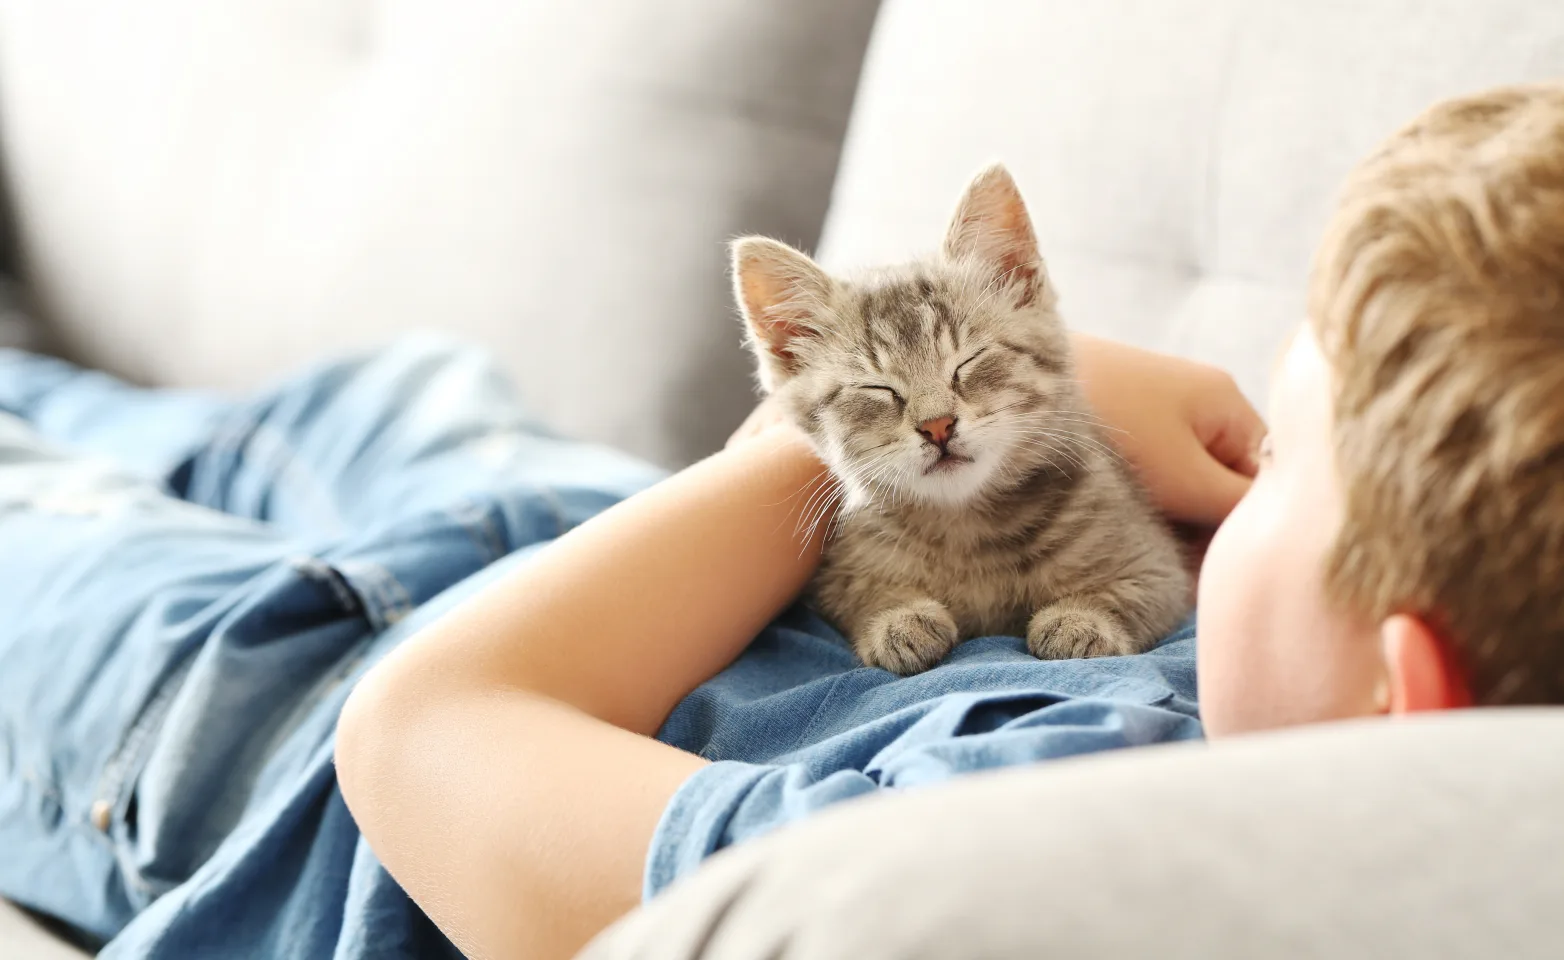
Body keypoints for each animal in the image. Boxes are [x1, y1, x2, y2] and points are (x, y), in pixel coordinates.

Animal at [731, 163, 1182, 678]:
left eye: (967, 362)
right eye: (878, 389)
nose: (938, 426)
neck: (970, 531)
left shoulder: (1158, 564)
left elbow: (1136, 591)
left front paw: (1081, 618)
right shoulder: (838, 574)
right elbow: (859, 593)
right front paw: (898, 618)